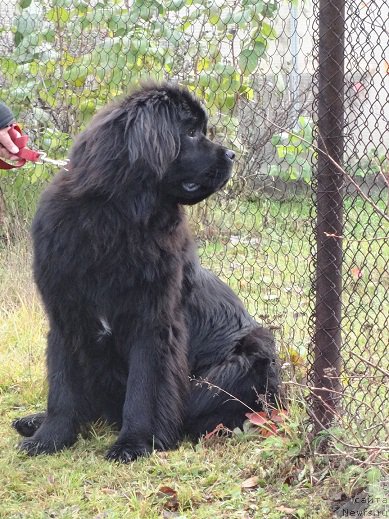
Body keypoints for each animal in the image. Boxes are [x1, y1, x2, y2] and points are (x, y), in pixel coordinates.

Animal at [12, 82, 278, 464]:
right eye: (191, 132)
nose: (230, 155)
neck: (116, 218)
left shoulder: (153, 322)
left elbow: (144, 388)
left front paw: (136, 442)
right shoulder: (66, 316)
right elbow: (62, 387)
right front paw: (49, 438)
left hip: (248, 357)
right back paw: (33, 421)